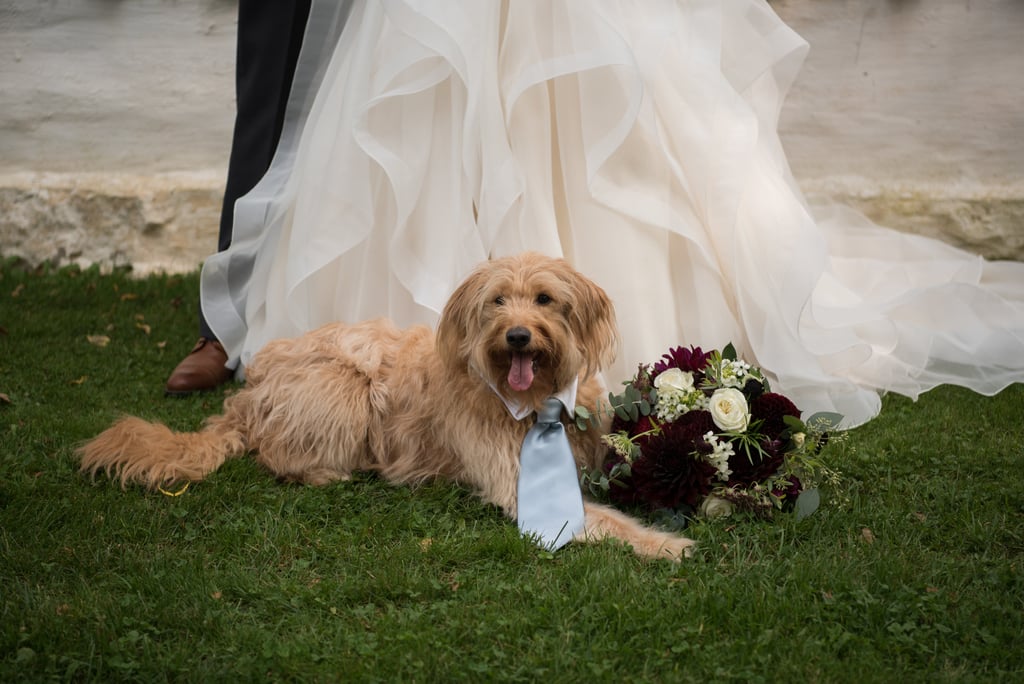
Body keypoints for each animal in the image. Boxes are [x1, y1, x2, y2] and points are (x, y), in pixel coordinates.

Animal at [79, 252, 696, 561]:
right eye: (498, 301)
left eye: (544, 299)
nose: (518, 335)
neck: (529, 399)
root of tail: (246, 398)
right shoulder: (512, 479)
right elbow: (605, 521)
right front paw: (668, 544)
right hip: (343, 389)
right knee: (278, 456)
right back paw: (328, 473)